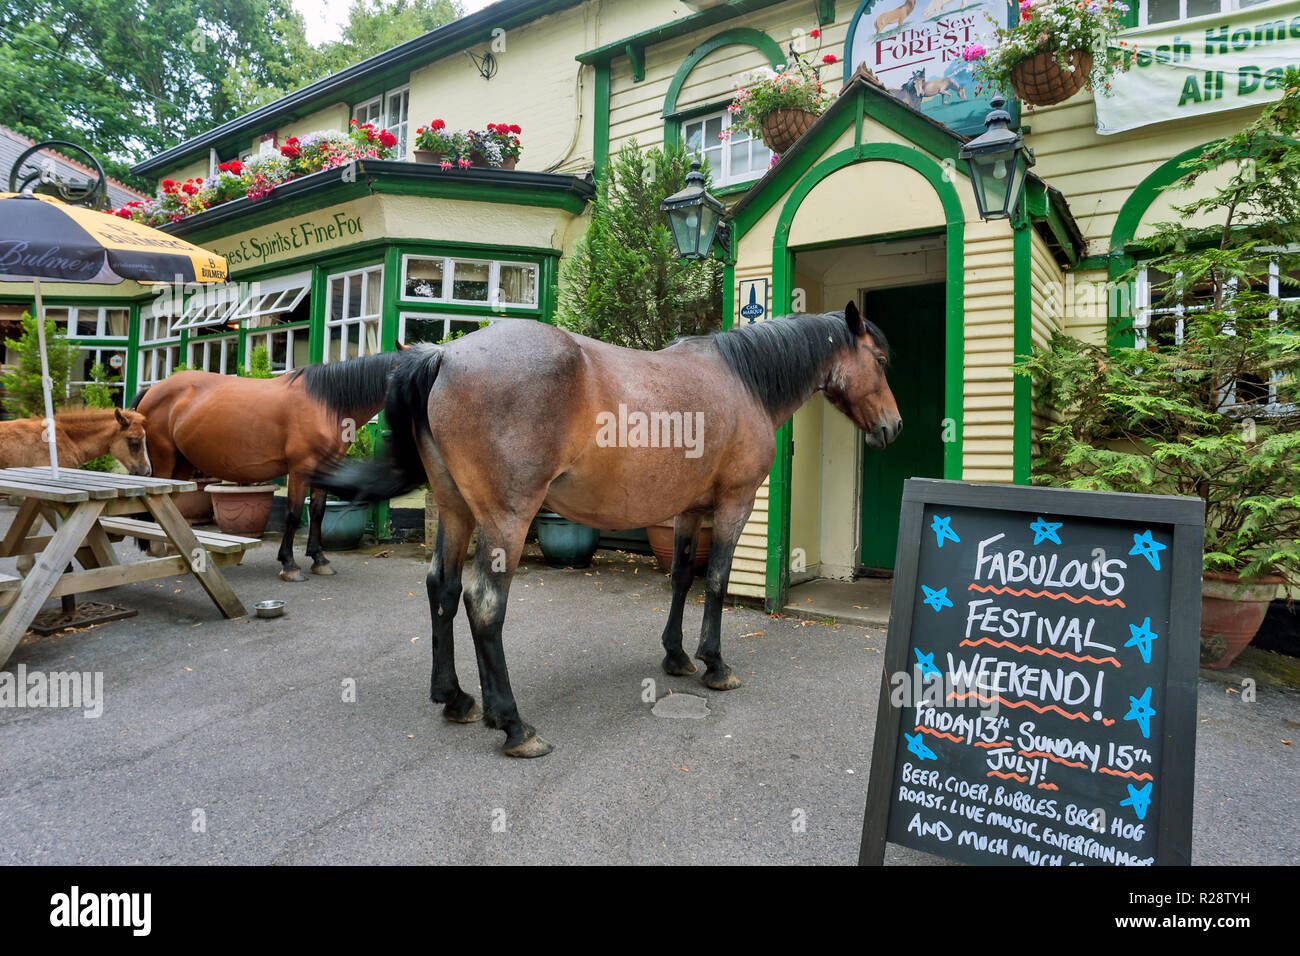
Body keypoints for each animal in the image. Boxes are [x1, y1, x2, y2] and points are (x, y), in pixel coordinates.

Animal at [132, 358, 397, 582]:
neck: (325, 403)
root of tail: (153, 389)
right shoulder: (300, 469)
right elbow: (293, 514)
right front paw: (289, 564)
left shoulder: (324, 469)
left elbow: (318, 511)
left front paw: (319, 559)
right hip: (165, 459)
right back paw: (156, 549)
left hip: (183, 462)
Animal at [308, 310, 899, 759]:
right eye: (881, 360)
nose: (892, 427)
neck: (741, 380)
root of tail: (446, 356)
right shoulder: (734, 504)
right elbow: (716, 582)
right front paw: (715, 664)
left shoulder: (687, 512)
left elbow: (682, 577)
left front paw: (677, 656)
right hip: (506, 519)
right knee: (484, 604)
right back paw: (514, 725)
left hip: (455, 510)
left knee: (443, 589)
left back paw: (455, 698)